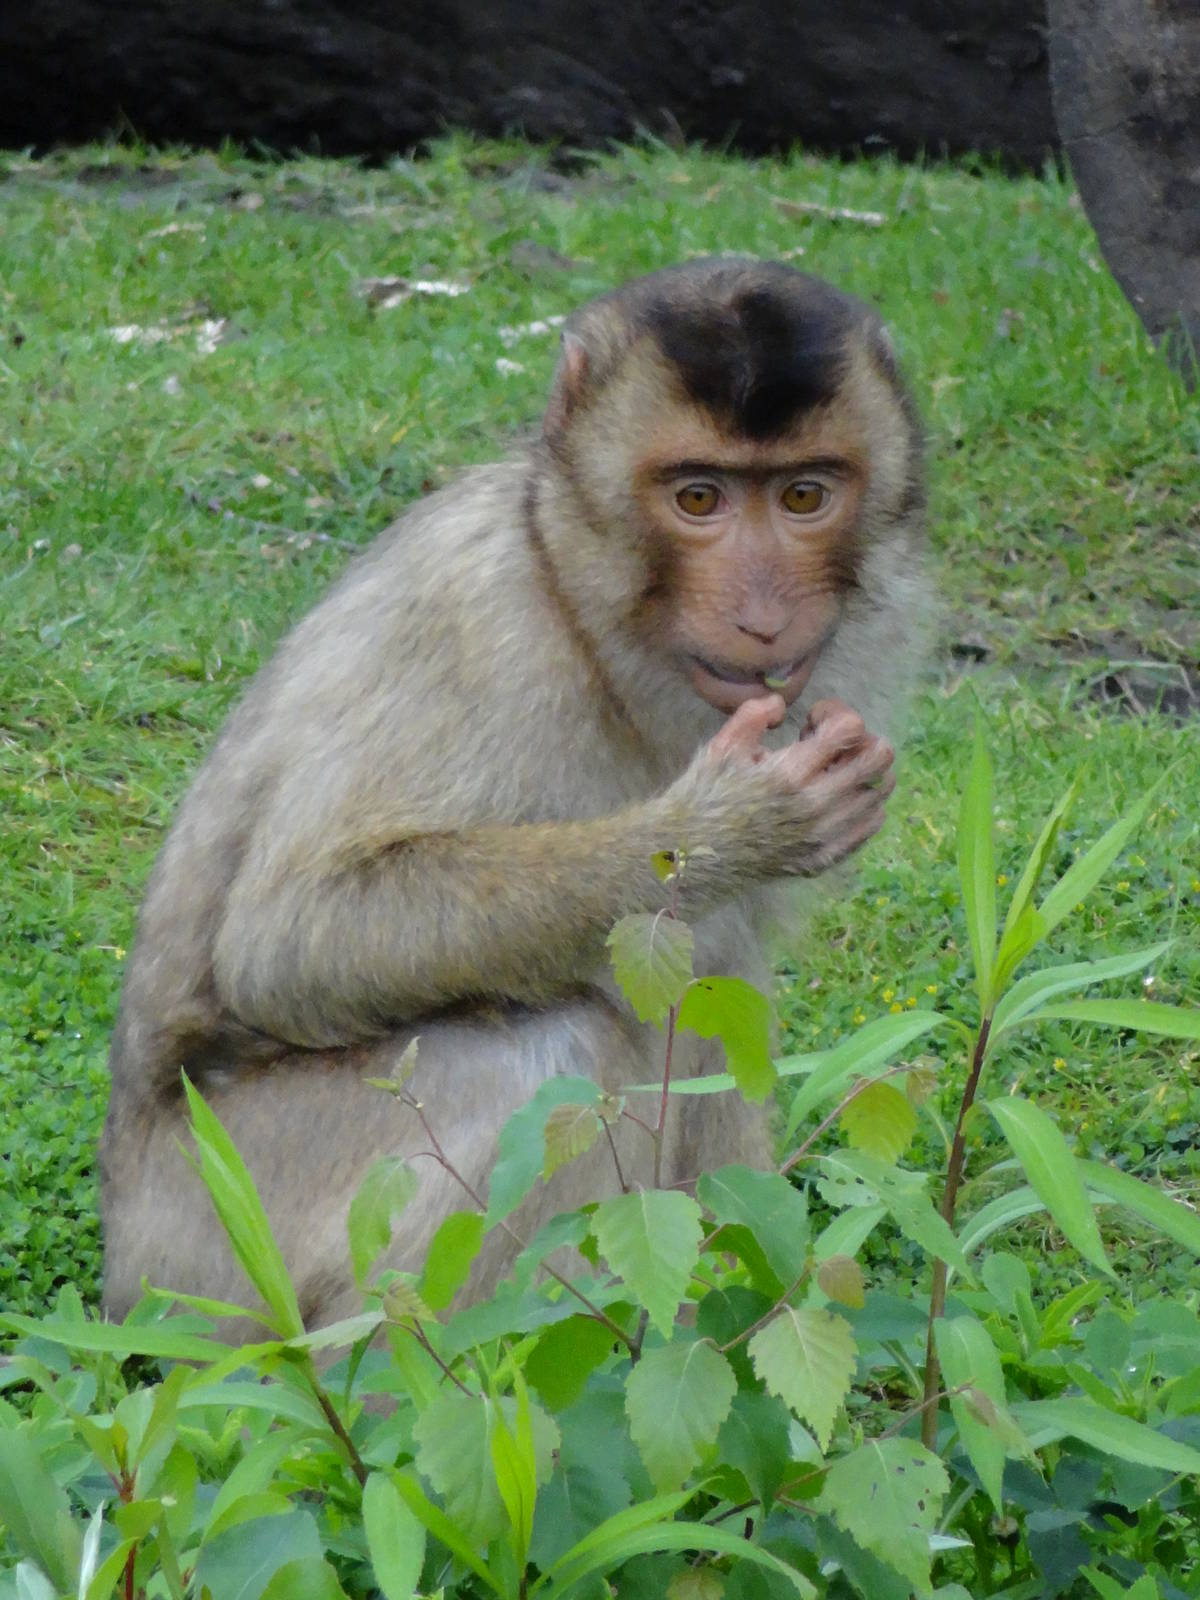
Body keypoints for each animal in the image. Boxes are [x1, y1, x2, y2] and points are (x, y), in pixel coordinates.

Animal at [98, 257, 926, 1333]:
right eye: (699, 497)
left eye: (803, 495)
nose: (761, 614)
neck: (584, 604)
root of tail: (122, 1255)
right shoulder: (474, 609)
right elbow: (291, 937)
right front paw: (726, 827)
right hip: (219, 1241)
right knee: (557, 1049)